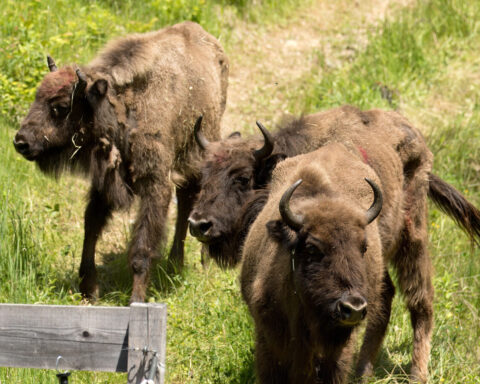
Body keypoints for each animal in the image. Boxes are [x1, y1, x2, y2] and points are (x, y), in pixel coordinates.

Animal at [14, 21, 231, 304]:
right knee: (185, 202)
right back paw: (175, 263)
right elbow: (91, 227)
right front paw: (89, 290)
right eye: (37, 96)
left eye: (60, 106)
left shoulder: (155, 185)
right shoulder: (104, 182)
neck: (125, 106)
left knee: (191, 200)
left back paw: (202, 262)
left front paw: (136, 299)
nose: (21, 142)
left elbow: (142, 246)